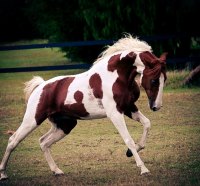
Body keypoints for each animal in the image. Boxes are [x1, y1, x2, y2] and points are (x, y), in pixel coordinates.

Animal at [0, 34, 167, 179]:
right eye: (154, 80)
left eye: (164, 79)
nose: (156, 107)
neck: (116, 76)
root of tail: (40, 86)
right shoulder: (115, 113)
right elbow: (128, 139)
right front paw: (143, 169)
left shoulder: (128, 107)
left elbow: (147, 124)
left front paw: (131, 152)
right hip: (33, 120)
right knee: (13, 140)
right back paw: (3, 174)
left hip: (65, 125)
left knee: (43, 142)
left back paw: (57, 171)